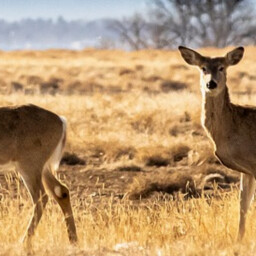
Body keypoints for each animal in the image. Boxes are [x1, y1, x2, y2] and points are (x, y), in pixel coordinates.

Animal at [0, 103, 78, 244]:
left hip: (29, 168)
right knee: (61, 191)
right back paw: (73, 240)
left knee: (41, 197)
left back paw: (23, 242)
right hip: (43, 169)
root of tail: (60, 120)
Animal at [178, 46, 256, 240]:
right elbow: (243, 205)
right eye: (203, 68)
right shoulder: (247, 170)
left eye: (222, 67)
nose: (211, 84)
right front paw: (238, 239)